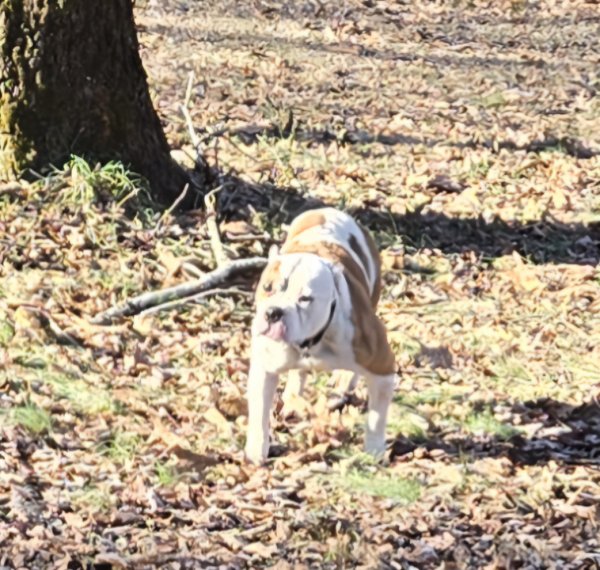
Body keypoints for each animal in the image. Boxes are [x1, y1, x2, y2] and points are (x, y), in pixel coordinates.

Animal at [241, 206, 396, 464]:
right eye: (267, 288)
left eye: (305, 299)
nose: (274, 312)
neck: (312, 342)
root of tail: (328, 210)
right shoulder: (265, 368)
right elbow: (260, 411)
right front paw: (256, 449)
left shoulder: (382, 367)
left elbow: (377, 417)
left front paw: (374, 449)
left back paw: (344, 380)